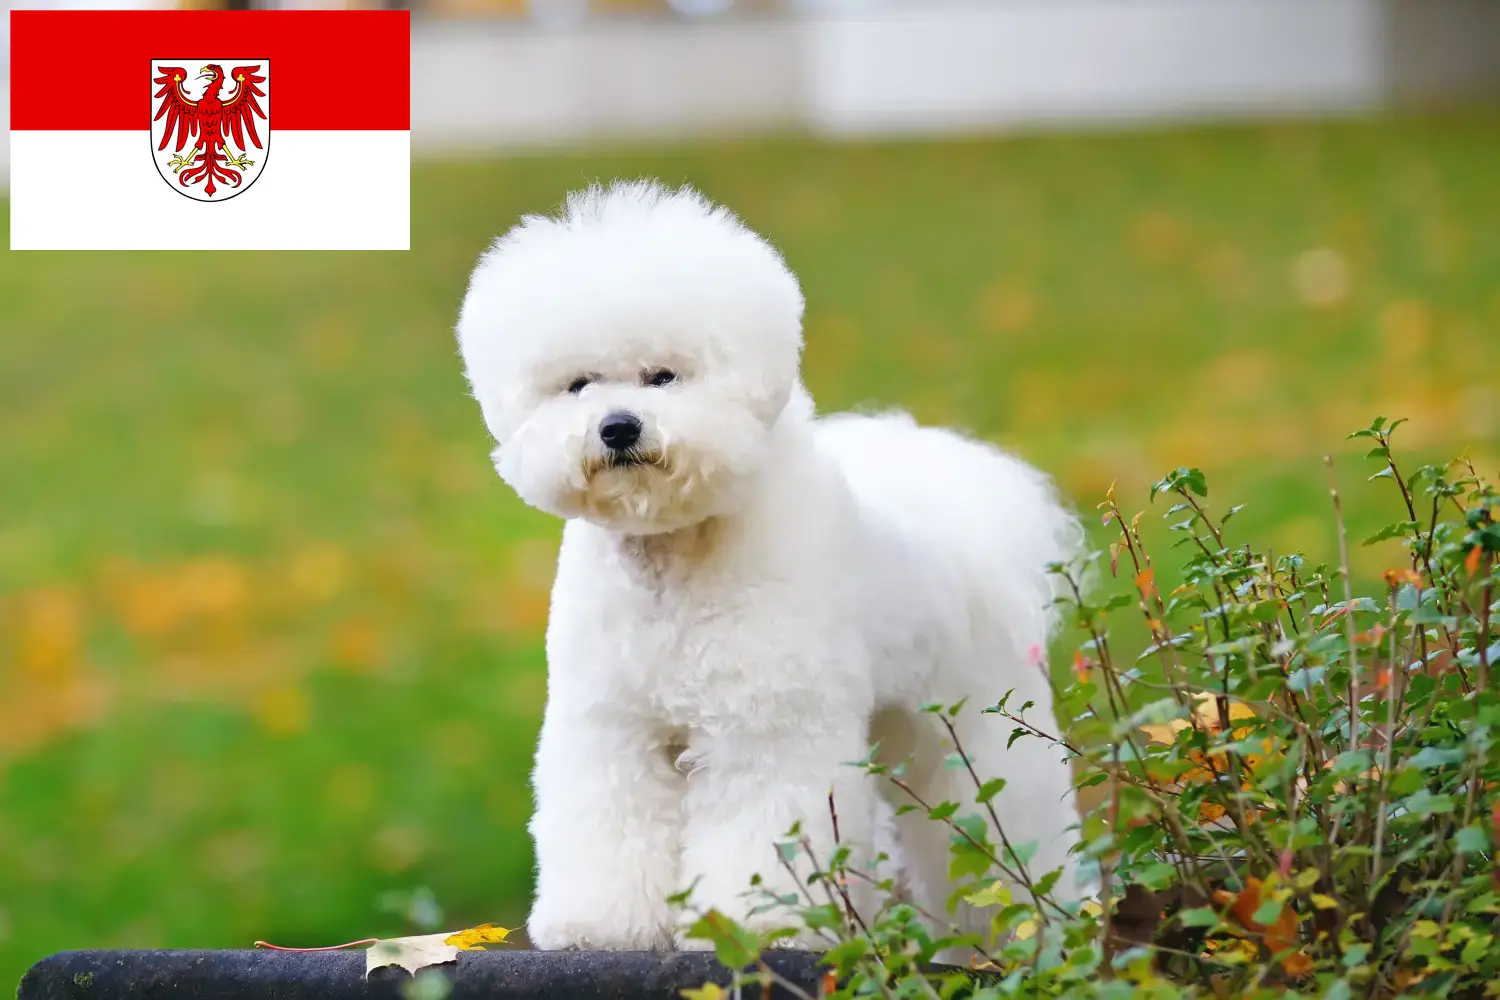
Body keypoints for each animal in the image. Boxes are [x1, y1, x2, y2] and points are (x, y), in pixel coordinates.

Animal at [450, 179, 1086, 953]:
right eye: (578, 385)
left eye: (664, 376)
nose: (619, 427)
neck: (676, 558)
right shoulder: (612, 727)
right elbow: (608, 820)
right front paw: (600, 925)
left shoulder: (767, 728)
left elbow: (764, 828)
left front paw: (761, 926)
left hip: (979, 726)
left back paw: (1024, 926)